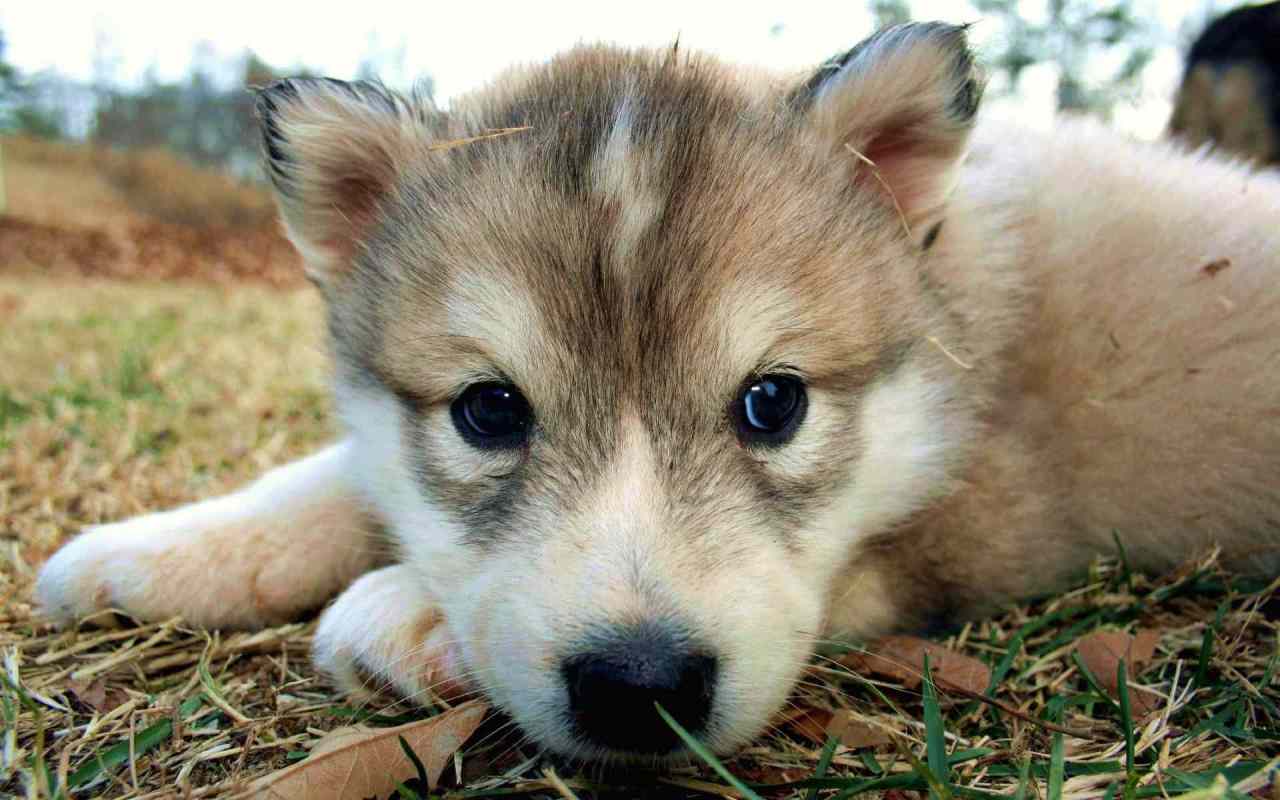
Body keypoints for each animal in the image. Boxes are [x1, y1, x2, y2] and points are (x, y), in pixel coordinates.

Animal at [36, 23, 1280, 761]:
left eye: (773, 403)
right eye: (489, 410)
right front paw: (161, 546)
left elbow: (859, 565)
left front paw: (414, 609)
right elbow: (342, 467)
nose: (637, 683)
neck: (952, 298)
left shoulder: (991, 510)